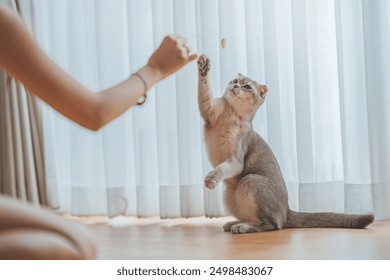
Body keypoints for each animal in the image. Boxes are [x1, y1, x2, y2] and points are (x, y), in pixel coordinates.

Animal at [198, 54, 374, 234]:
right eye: (235, 80)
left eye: (246, 86)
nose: (235, 85)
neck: (231, 114)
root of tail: (287, 210)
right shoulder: (209, 109)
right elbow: (204, 91)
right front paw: (203, 66)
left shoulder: (235, 160)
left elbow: (221, 168)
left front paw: (210, 179)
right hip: (229, 195)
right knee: (259, 219)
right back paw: (233, 223)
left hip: (251, 181)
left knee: (272, 224)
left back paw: (242, 227)